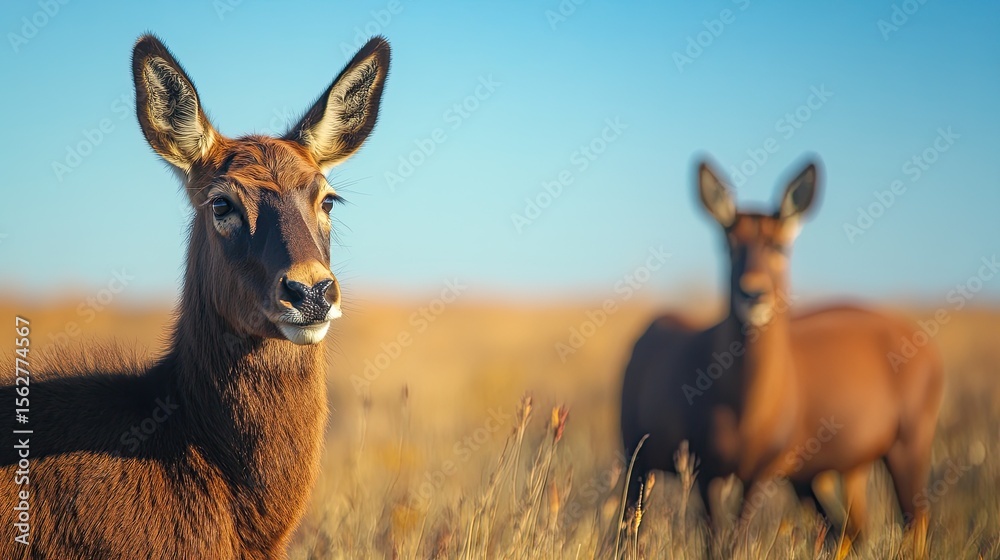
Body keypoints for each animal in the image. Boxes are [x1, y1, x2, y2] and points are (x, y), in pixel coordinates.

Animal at [619, 158, 943, 554]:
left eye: (779, 245)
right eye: (728, 244)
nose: (753, 293)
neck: (742, 406)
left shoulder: (757, 476)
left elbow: (734, 542)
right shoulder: (709, 474)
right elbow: (718, 543)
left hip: (905, 449)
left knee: (908, 521)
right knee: (854, 528)